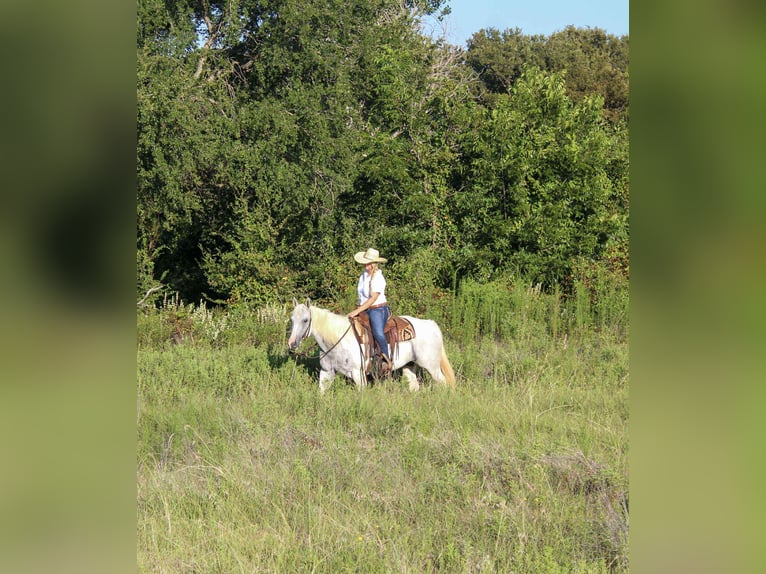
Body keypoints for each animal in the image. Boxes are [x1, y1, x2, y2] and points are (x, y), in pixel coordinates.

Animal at [287, 299, 456, 393]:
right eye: (292, 319)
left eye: (305, 320)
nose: (292, 344)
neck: (338, 341)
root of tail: (431, 324)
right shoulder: (327, 371)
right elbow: (321, 393)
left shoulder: (358, 374)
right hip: (409, 365)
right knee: (414, 387)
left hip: (431, 366)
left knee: (444, 383)